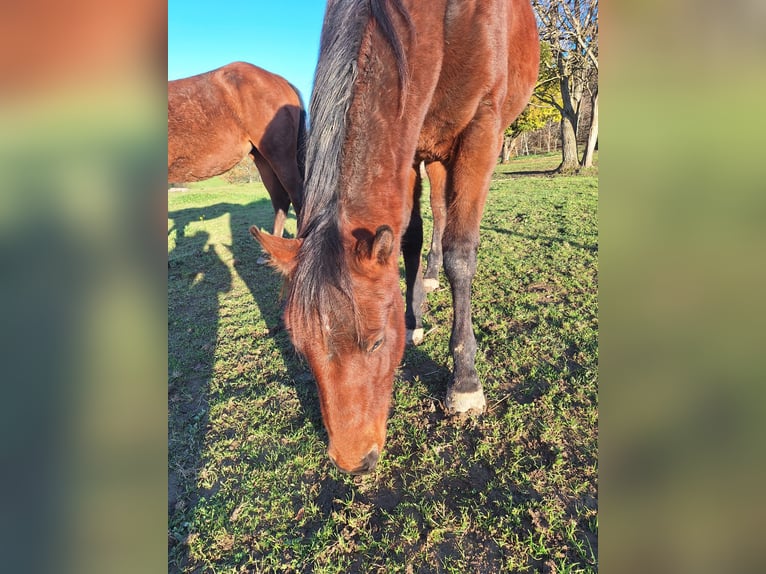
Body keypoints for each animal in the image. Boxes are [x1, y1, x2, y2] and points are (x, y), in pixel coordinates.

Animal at [252, 1, 540, 476]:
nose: (354, 462)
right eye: (300, 348)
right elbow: (408, 240)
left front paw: (464, 382)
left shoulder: (481, 131)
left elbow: (462, 254)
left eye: (376, 342)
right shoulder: (408, 141)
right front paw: (414, 319)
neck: (444, 20)